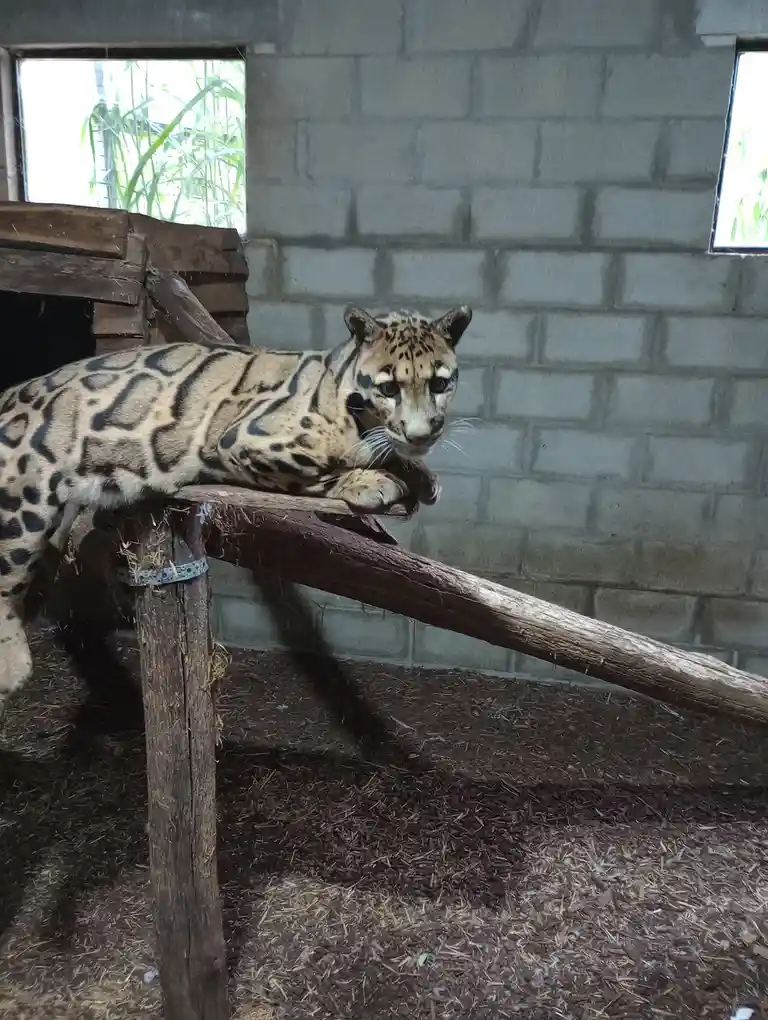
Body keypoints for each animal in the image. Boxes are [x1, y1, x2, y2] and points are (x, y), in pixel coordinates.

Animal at [0, 302, 472, 717]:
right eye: (389, 387)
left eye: (440, 383)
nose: (421, 432)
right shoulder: (246, 440)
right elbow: (321, 471)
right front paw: (370, 479)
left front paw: (418, 472)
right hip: (24, 496)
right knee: (7, 573)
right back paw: (13, 666)